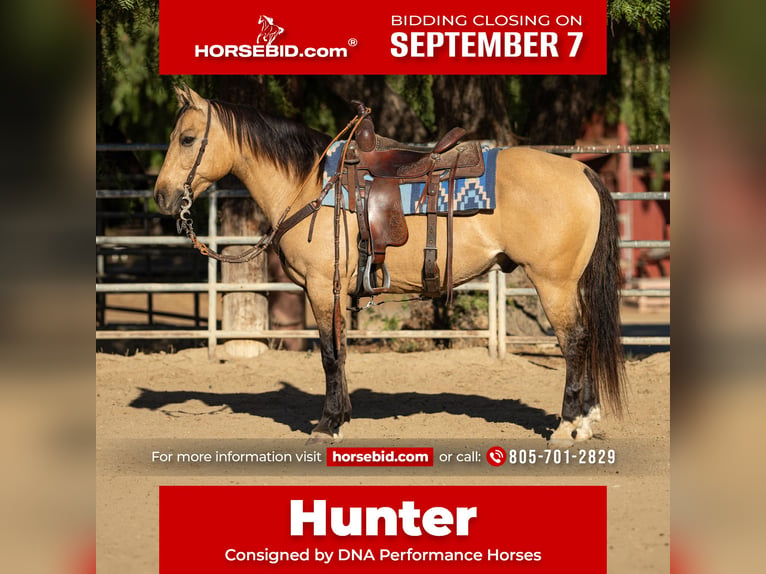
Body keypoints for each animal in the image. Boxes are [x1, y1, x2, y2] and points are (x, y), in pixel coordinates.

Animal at [154, 84, 626, 445]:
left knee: (574, 342)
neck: (309, 184)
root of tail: (582, 172)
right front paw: (341, 417)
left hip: (553, 283)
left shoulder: (321, 287)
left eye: (188, 139)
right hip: (570, 284)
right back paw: (586, 421)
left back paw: (566, 425)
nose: (161, 196)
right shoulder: (334, 292)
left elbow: (328, 355)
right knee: (585, 338)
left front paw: (326, 426)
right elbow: (341, 352)